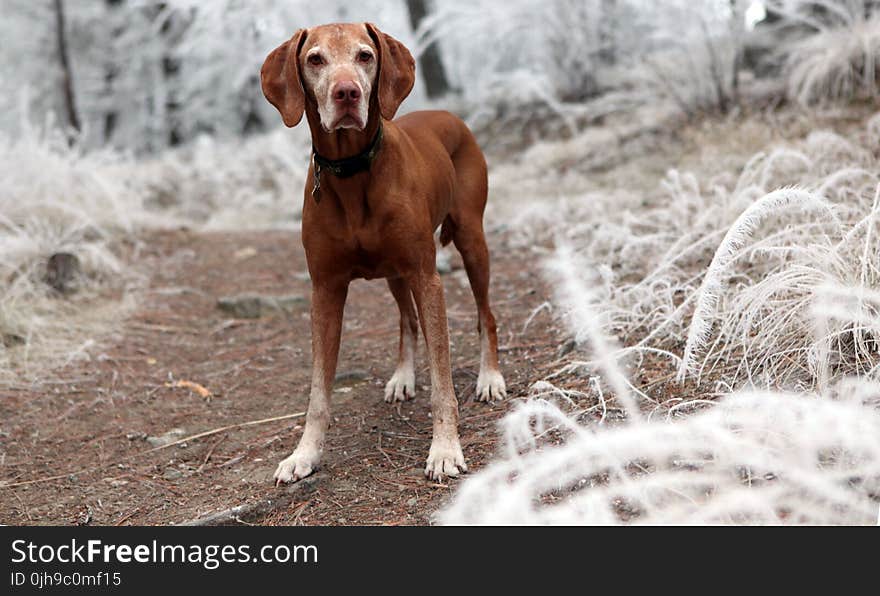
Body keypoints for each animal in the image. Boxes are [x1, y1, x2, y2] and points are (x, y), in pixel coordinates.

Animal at [262, 23, 506, 484]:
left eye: (365, 56)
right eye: (314, 59)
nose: (347, 93)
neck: (352, 172)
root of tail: (450, 115)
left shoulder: (427, 278)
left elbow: (443, 381)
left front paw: (444, 449)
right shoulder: (325, 290)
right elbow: (318, 391)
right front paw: (305, 454)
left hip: (471, 241)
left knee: (486, 315)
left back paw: (490, 377)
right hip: (395, 273)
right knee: (406, 321)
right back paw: (403, 376)